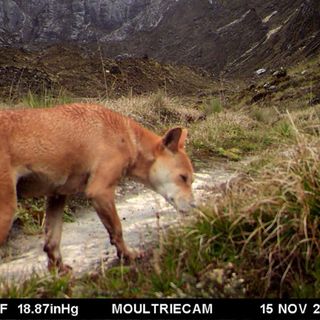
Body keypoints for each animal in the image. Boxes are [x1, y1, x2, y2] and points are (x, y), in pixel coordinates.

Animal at [0, 104, 195, 272]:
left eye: (191, 180)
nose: (195, 207)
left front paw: (59, 271)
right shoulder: (101, 192)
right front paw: (127, 254)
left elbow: (52, 241)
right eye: (183, 177)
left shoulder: (57, 196)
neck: (128, 137)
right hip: (7, 212)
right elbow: (117, 229)